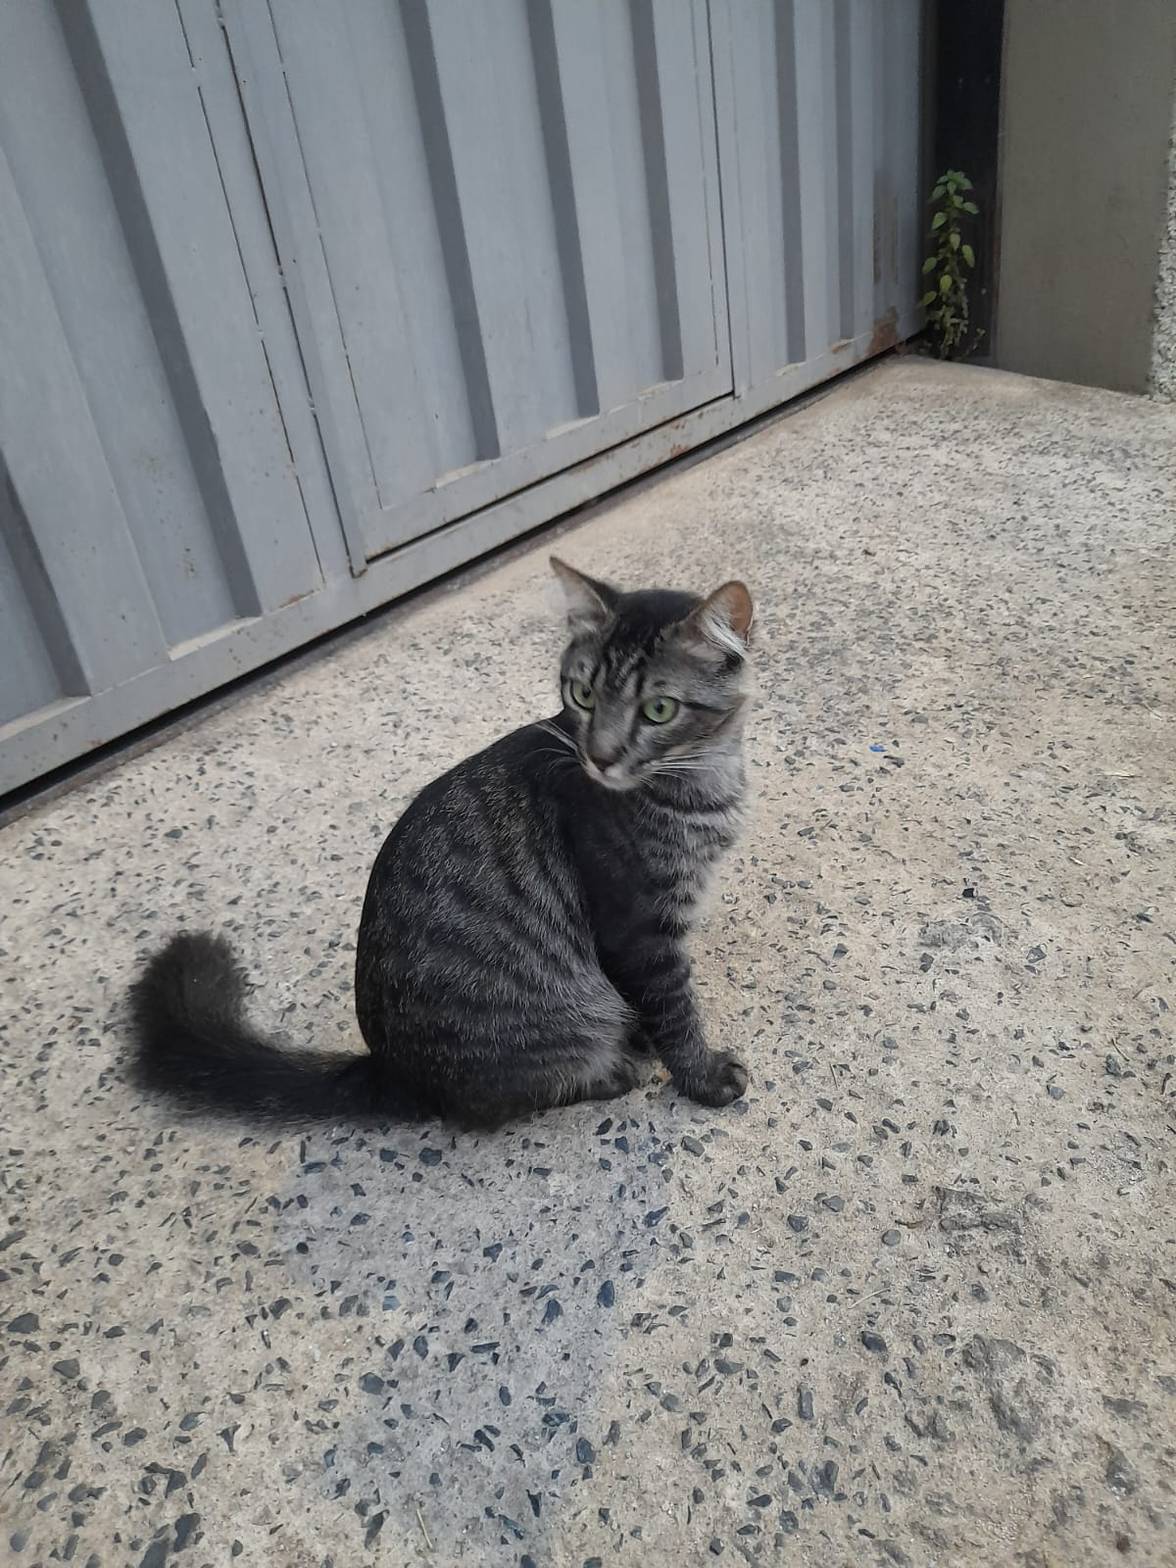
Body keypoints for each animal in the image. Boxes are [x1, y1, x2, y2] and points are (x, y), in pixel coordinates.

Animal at [129, 558, 755, 1127]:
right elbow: (674, 1012)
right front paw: (702, 1077)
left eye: (659, 709)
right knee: (505, 1100)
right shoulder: (638, 932)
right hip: (561, 1016)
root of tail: (390, 1072)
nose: (598, 757)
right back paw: (613, 1067)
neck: (704, 784)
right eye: (582, 696)